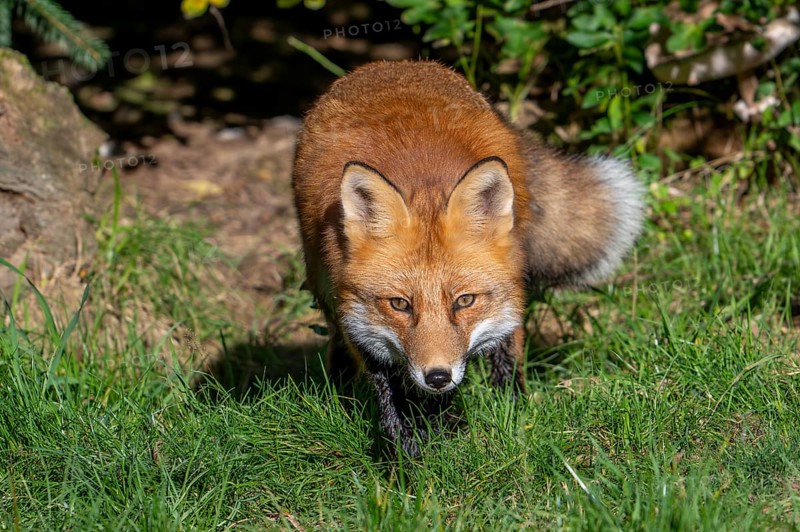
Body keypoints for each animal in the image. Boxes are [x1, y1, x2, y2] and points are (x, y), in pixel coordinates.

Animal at [292, 60, 644, 456]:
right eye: (399, 304)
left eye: (464, 301)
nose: (437, 376)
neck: (419, 175)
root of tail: (394, 64)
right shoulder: (358, 319)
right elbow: (389, 391)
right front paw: (404, 451)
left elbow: (494, 367)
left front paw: (497, 424)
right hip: (323, 289)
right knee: (339, 347)